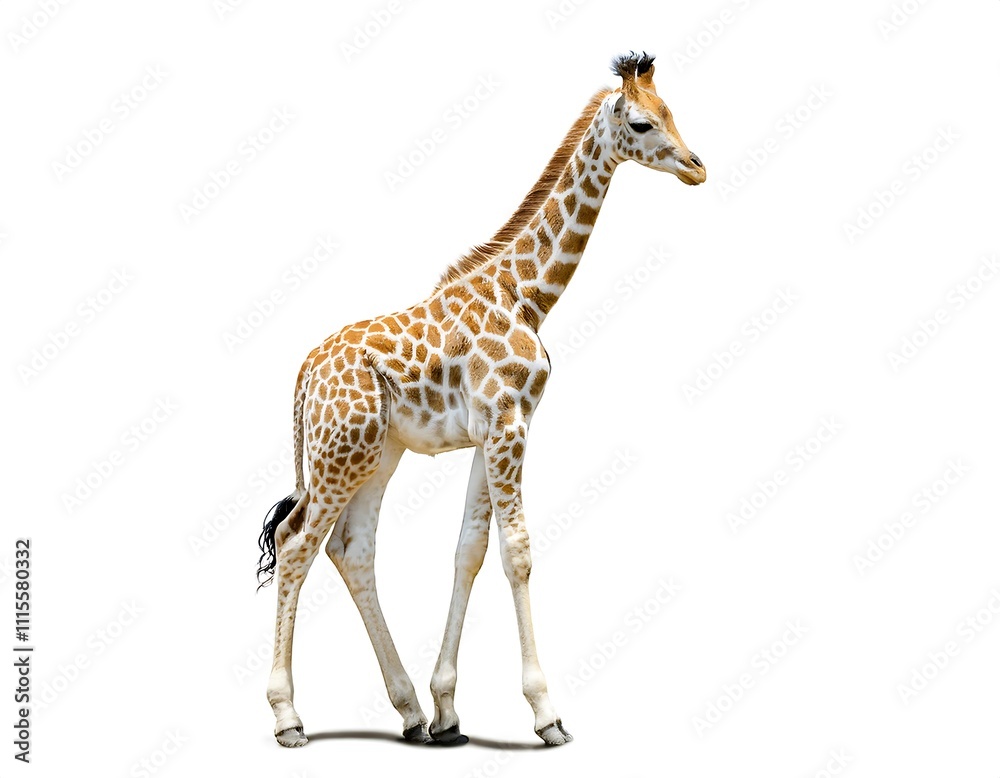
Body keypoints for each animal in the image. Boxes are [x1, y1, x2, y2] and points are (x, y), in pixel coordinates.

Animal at [256, 51, 705, 748]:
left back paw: (410, 713)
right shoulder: (508, 425)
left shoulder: (491, 431)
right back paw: (288, 718)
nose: (696, 167)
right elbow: (517, 551)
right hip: (338, 458)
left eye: (672, 111)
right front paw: (547, 714)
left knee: (351, 550)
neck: (528, 295)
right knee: (297, 543)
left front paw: (447, 711)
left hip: (375, 456)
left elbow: (469, 549)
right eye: (640, 121)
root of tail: (305, 374)